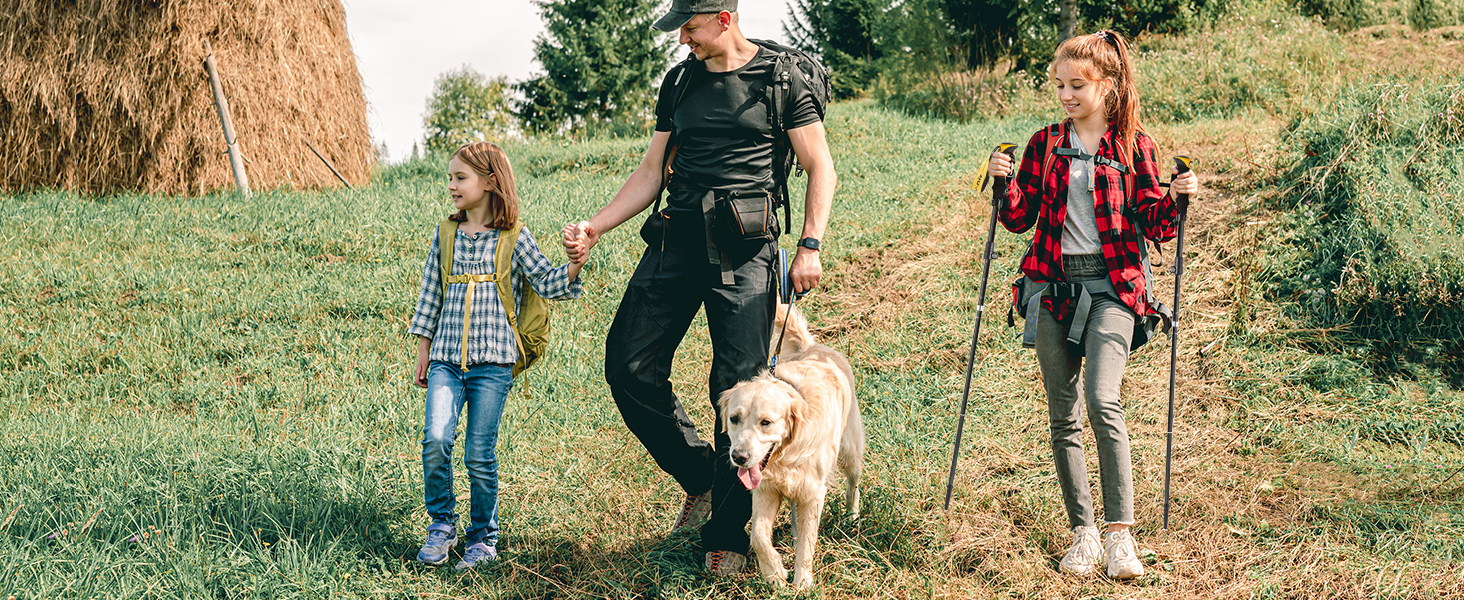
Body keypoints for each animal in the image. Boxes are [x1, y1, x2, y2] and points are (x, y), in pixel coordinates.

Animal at [723, 307, 860, 588]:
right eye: (734, 418)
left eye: (766, 422)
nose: (739, 457)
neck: (785, 455)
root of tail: (812, 347)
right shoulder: (765, 489)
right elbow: (758, 535)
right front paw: (774, 573)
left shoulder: (813, 491)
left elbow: (808, 542)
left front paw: (802, 583)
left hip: (850, 448)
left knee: (854, 483)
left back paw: (852, 516)